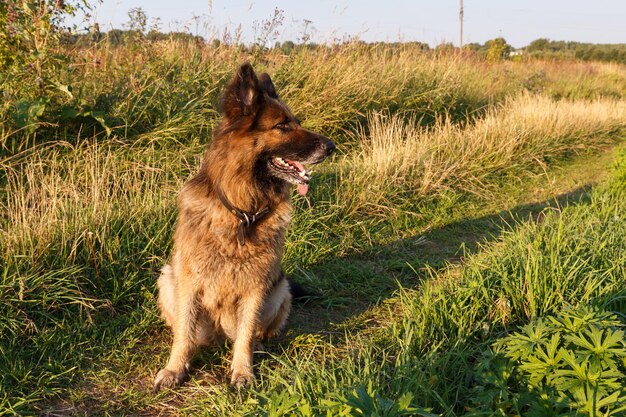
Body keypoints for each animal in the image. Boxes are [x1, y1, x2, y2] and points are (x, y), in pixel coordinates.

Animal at [154, 62, 334, 390]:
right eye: (282, 126)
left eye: (296, 123)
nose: (332, 147)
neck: (243, 214)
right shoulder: (189, 281)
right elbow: (183, 333)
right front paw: (175, 369)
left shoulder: (256, 286)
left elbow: (246, 332)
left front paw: (242, 370)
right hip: (167, 279)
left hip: (280, 289)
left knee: (255, 333)